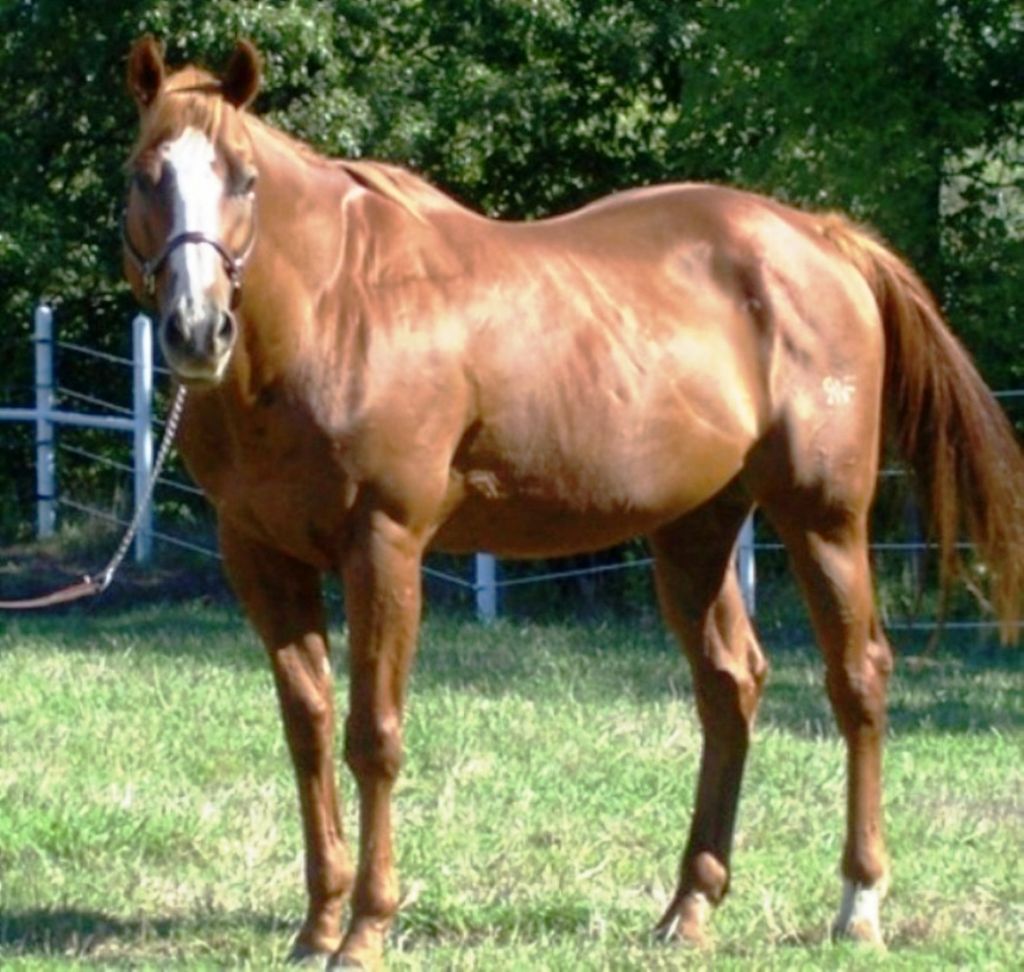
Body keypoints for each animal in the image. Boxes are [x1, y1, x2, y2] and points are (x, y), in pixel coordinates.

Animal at [121, 36, 1024, 962]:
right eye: (142, 175)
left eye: (243, 178)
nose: (198, 331)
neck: (337, 310)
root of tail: (824, 240)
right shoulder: (260, 556)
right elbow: (307, 731)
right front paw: (317, 927)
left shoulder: (384, 544)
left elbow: (373, 737)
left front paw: (367, 930)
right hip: (695, 531)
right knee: (730, 687)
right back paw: (690, 908)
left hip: (823, 518)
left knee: (858, 680)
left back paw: (859, 903)